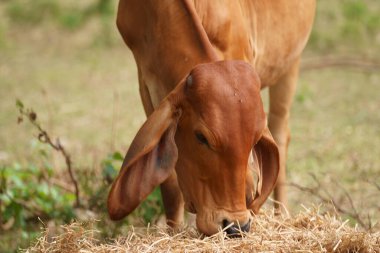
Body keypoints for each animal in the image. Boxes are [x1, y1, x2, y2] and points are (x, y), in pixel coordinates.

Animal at [107, 0, 314, 236]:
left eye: (254, 140)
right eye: (201, 137)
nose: (236, 226)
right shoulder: (145, 83)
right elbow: (170, 184)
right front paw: (174, 231)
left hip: (291, 64)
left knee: (280, 136)